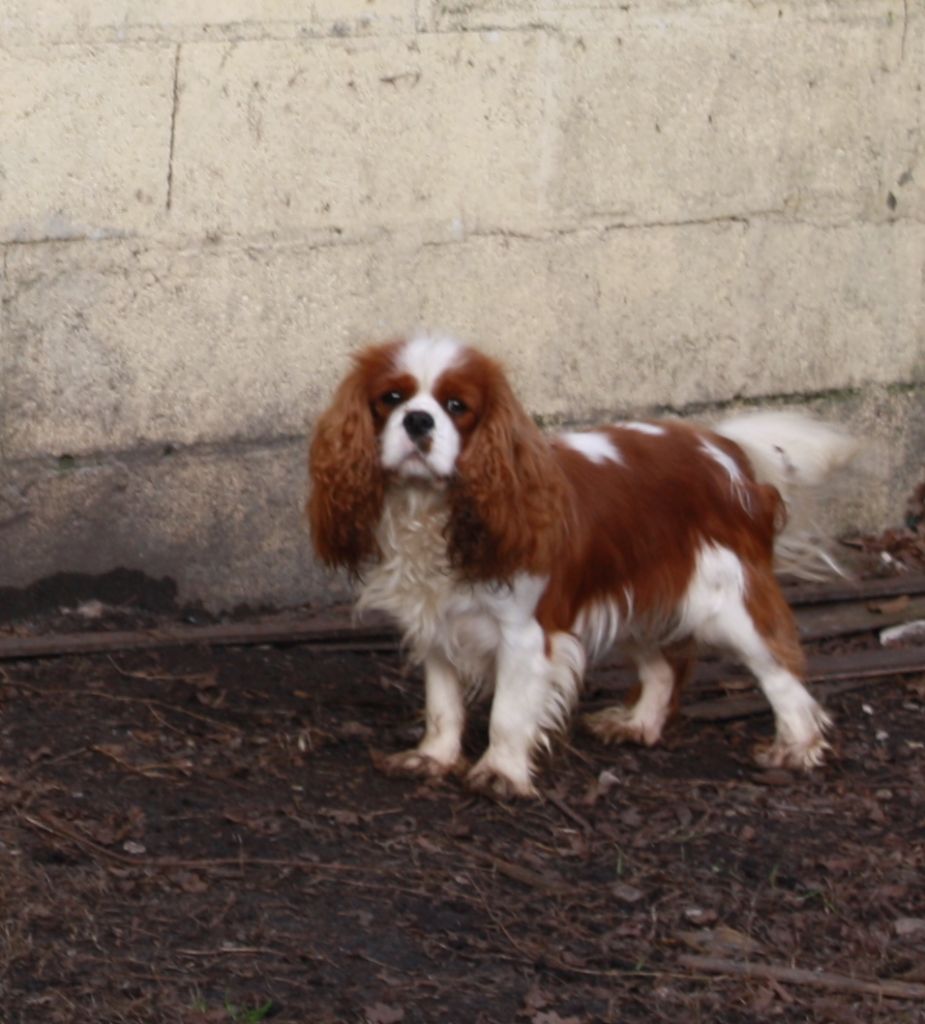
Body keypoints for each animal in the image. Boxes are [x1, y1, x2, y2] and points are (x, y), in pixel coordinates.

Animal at [307, 331, 856, 794]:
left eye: (456, 406)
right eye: (391, 399)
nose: (418, 420)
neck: (434, 509)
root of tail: (723, 448)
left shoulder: (525, 634)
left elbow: (508, 712)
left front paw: (500, 772)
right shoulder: (435, 626)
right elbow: (443, 705)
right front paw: (435, 758)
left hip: (728, 602)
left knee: (781, 669)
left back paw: (797, 746)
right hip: (638, 595)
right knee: (664, 668)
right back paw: (638, 723)